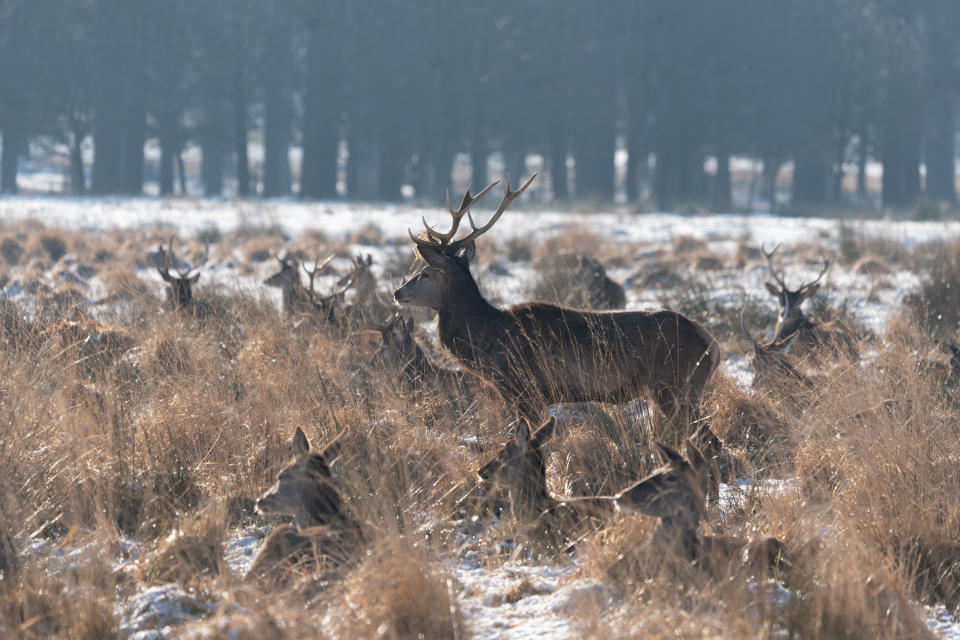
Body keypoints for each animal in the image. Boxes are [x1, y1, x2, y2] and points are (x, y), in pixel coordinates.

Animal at [392, 171, 720, 450]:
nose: (397, 292)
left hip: (676, 386)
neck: (488, 340)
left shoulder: (525, 388)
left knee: (710, 442)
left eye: (424, 273)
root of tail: (711, 344)